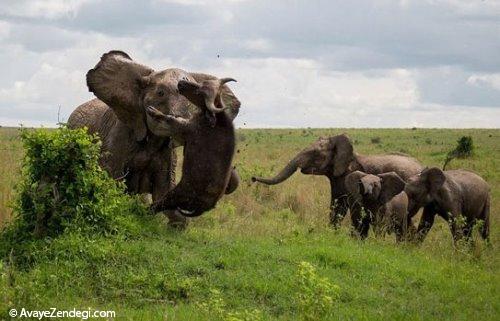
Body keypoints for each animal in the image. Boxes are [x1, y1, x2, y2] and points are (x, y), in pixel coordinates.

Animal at [146, 77, 239, 218]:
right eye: (201, 83)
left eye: (199, 92)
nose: (182, 82)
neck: (215, 121)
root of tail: (206, 207)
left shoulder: (186, 128)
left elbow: (170, 119)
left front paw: (153, 110)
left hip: (175, 195)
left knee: (157, 205)